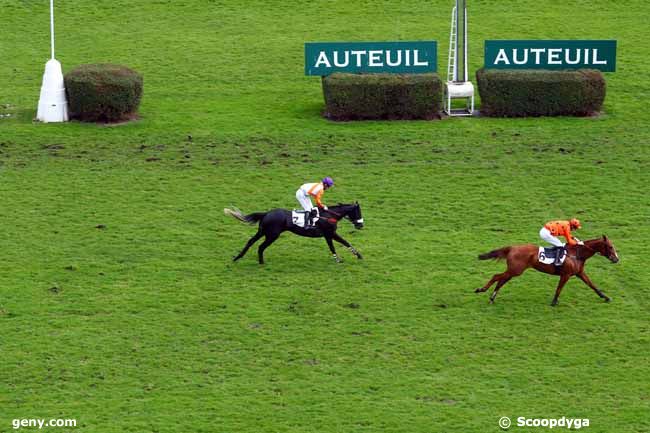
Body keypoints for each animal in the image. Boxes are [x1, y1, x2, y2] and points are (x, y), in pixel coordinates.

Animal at [225, 202, 362, 264]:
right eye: (358, 212)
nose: (361, 225)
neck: (329, 216)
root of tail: (266, 213)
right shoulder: (329, 234)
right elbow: (337, 245)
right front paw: (339, 259)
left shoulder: (330, 234)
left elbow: (344, 243)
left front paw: (358, 255)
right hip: (272, 235)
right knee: (260, 246)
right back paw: (261, 262)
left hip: (262, 232)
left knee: (251, 242)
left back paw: (238, 257)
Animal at [476, 236, 616, 304]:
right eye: (610, 247)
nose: (616, 259)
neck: (577, 254)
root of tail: (512, 248)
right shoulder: (566, 274)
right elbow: (559, 288)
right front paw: (554, 301)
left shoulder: (579, 273)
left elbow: (592, 285)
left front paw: (605, 297)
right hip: (515, 270)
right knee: (496, 276)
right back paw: (481, 289)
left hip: (513, 271)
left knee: (501, 280)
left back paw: (492, 297)